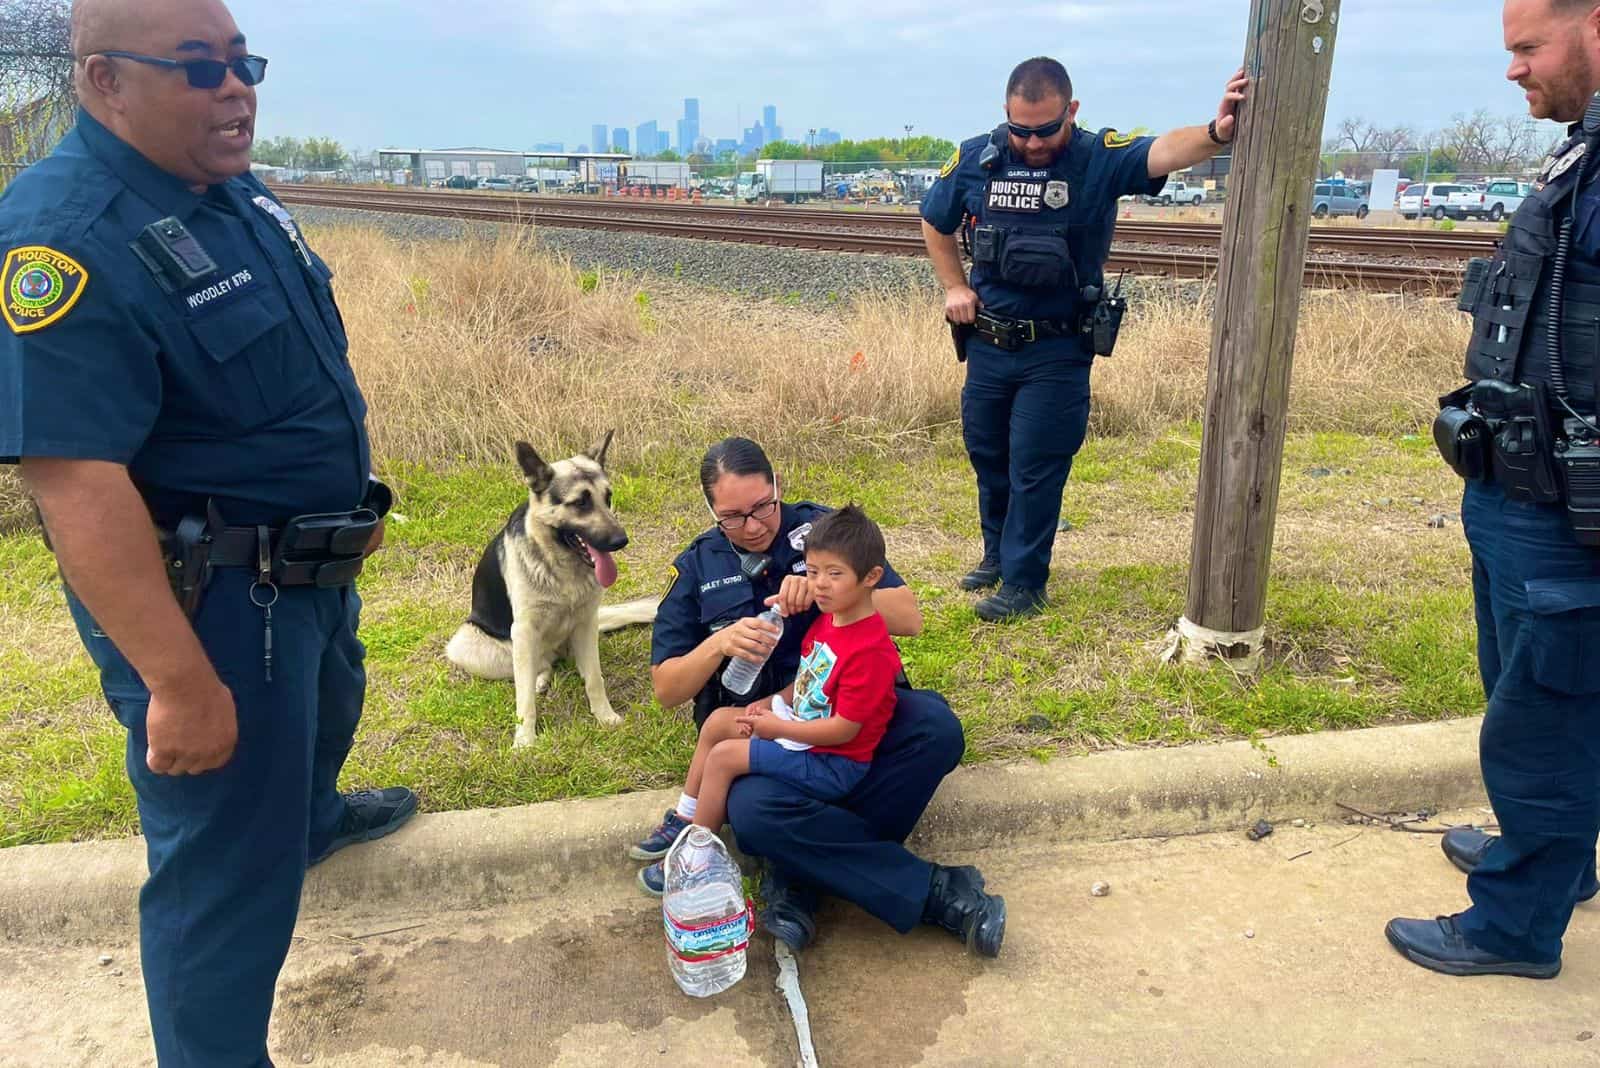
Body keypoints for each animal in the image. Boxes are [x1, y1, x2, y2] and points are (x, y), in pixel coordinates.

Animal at [444, 428, 656, 748]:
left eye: (608, 498)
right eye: (580, 502)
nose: (621, 541)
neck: (562, 568)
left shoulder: (585, 623)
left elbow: (595, 679)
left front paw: (605, 717)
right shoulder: (523, 630)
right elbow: (524, 700)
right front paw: (524, 741)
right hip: (470, 645)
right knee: (535, 668)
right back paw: (539, 680)